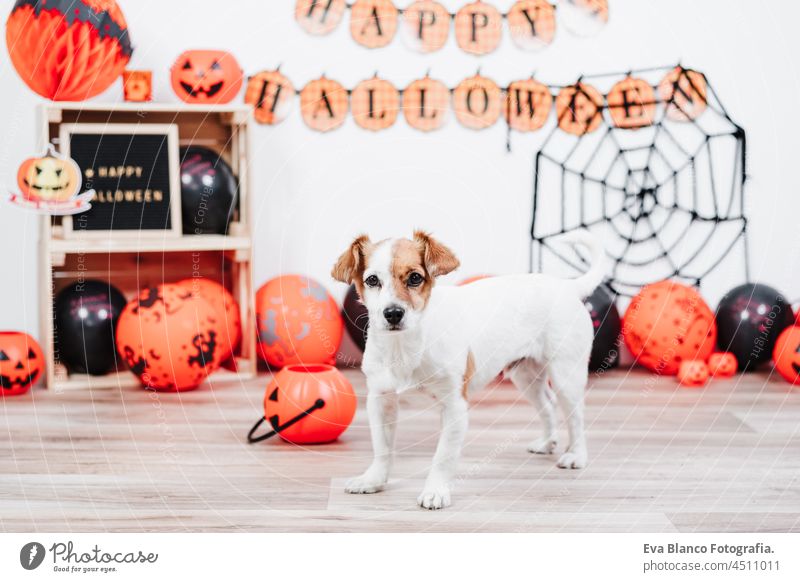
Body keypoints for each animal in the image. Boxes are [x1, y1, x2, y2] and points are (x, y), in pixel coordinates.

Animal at [332, 232, 608, 512]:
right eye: (372, 280)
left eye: (415, 278)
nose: (393, 313)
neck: (405, 347)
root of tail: (567, 287)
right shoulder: (381, 400)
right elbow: (382, 447)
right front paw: (374, 480)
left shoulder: (455, 406)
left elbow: (443, 456)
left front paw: (435, 491)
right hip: (525, 376)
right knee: (548, 405)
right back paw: (546, 443)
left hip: (566, 375)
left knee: (576, 417)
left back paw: (576, 454)